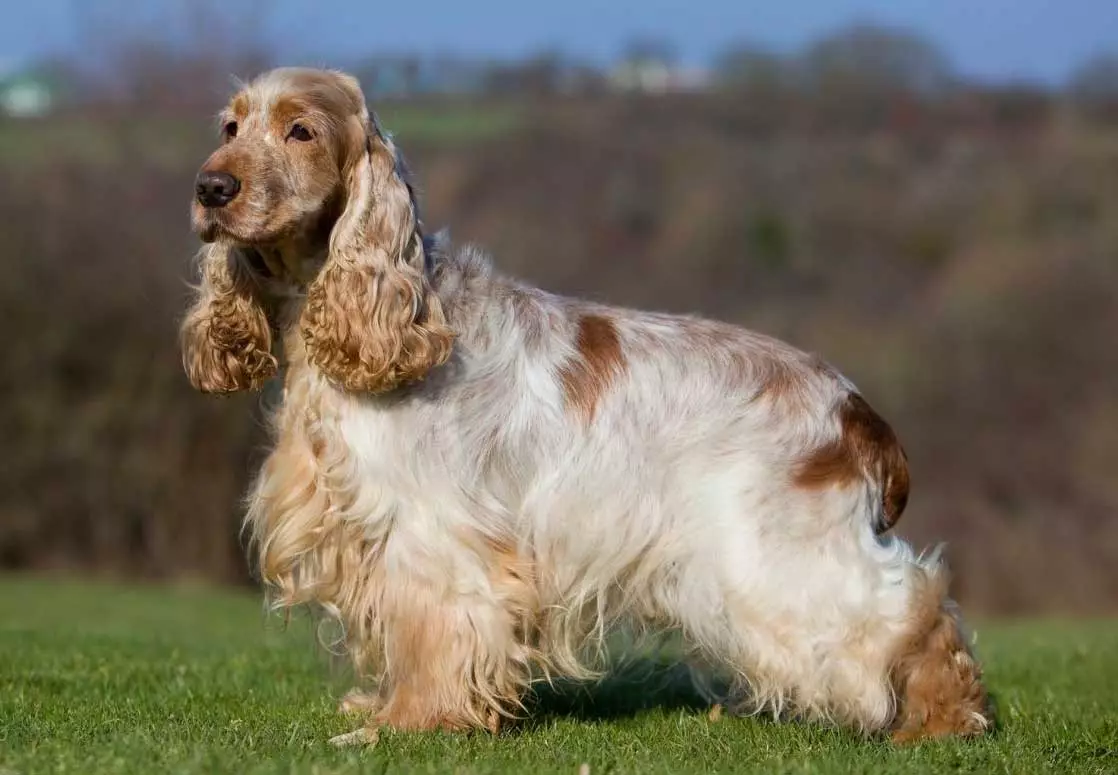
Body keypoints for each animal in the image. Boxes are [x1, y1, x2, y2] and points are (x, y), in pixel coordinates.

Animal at [178, 67, 992, 742]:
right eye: (230, 126)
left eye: (301, 130)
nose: (210, 188)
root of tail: (856, 410)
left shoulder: (432, 531)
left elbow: (438, 627)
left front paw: (413, 721)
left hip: (775, 558)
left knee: (911, 605)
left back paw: (943, 719)